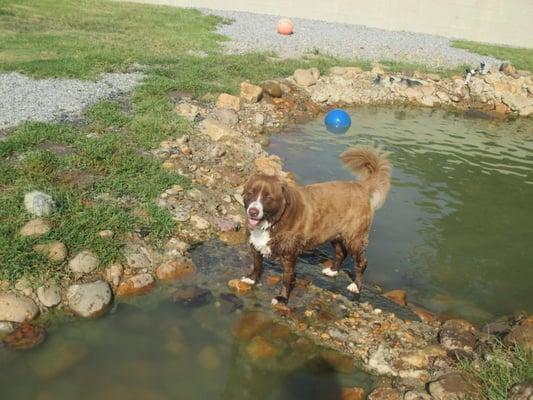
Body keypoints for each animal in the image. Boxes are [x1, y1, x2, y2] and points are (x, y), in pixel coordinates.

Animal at [241, 145, 390, 304]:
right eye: (250, 193)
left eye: (268, 197)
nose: (253, 211)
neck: (274, 220)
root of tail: (361, 187)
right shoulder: (256, 243)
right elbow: (257, 264)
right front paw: (251, 279)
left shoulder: (289, 254)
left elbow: (287, 277)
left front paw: (282, 298)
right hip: (335, 234)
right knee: (341, 253)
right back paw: (332, 271)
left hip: (354, 238)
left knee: (362, 262)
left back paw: (356, 286)